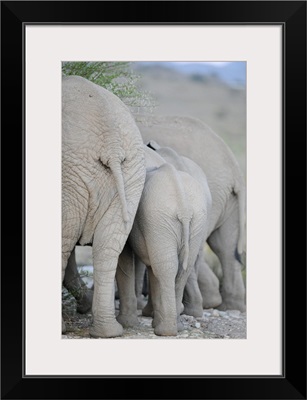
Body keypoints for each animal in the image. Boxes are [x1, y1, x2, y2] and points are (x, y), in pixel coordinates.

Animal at [62, 76, 146, 338]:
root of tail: (111, 144)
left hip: (70, 175)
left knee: (64, 241)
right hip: (132, 173)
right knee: (108, 246)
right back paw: (108, 331)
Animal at [116, 152, 213, 336]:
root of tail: (183, 207)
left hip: (160, 220)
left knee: (166, 268)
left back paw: (165, 331)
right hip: (191, 221)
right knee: (178, 269)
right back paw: (174, 327)